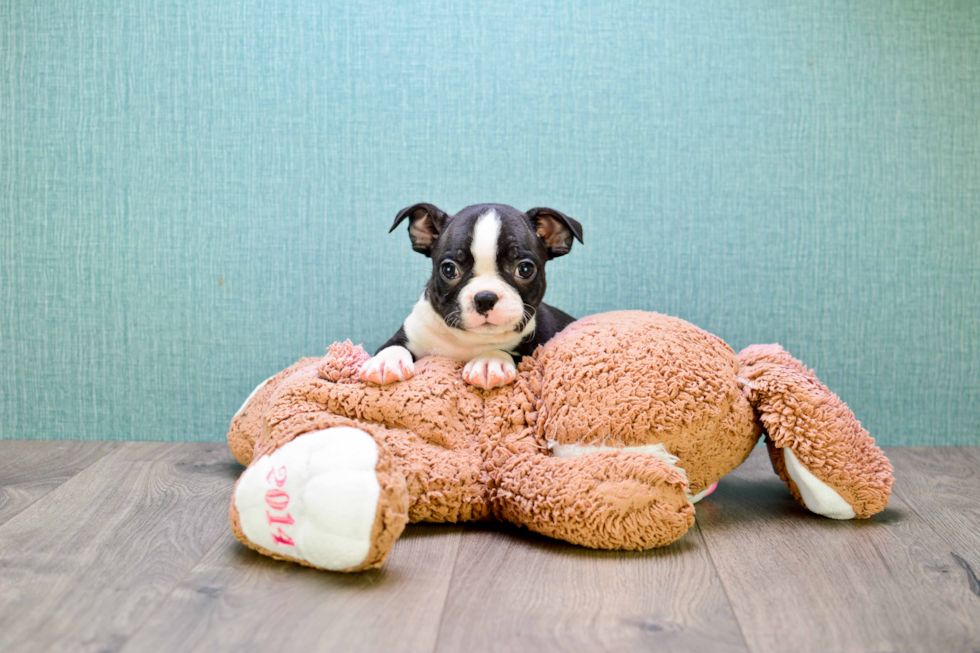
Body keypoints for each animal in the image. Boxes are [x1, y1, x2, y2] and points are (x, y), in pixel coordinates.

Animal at [364, 201, 584, 390]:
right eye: (449, 270)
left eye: (525, 269)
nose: (485, 298)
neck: (469, 340)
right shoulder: (410, 331)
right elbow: (393, 345)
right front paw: (387, 361)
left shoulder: (533, 351)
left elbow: (511, 353)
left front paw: (490, 361)